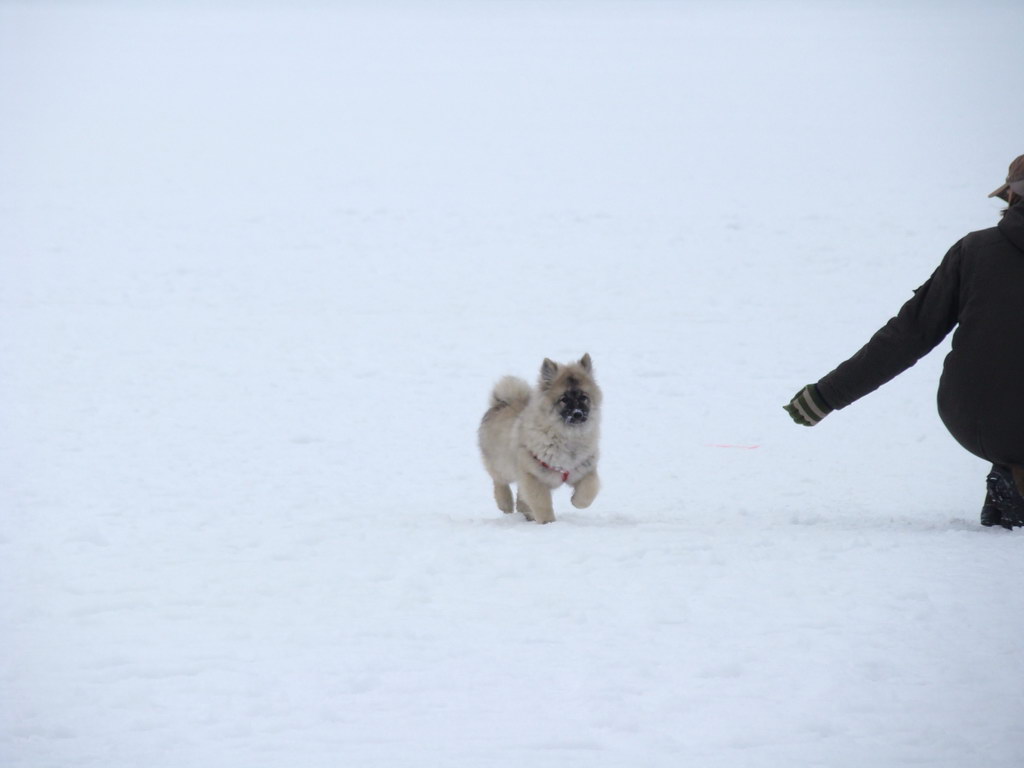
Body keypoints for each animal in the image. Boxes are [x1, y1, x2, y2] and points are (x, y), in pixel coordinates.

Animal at [477, 354, 598, 524]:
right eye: (564, 399)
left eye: (583, 397)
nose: (578, 414)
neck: (567, 436)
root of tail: (503, 403)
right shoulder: (534, 476)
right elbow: (542, 504)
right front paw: (548, 523)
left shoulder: (584, 469)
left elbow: (589, 491)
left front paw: (575, 500)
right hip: (502, 464)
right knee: (500, 482)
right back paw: (505, 504)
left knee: (520, 496)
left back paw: (526, 513)